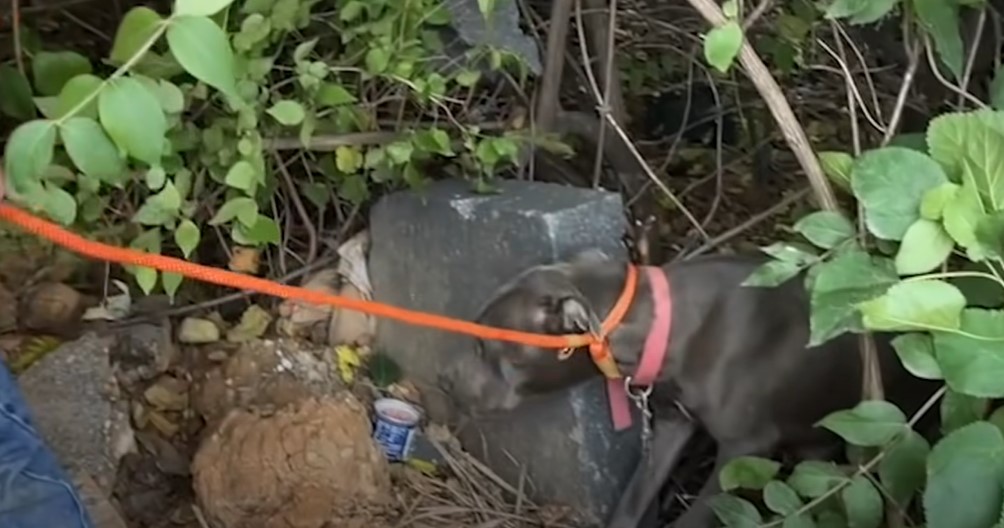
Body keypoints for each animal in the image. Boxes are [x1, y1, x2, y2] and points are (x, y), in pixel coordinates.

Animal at [441, 250, 939, 525]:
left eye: (484, 344)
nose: (445, 383)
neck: (662, 325)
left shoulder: (743, 447)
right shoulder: (672, 424)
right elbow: (632, 501)